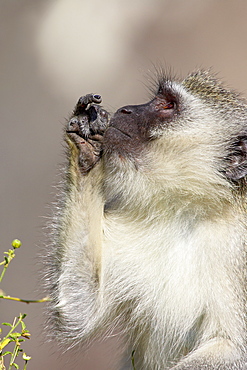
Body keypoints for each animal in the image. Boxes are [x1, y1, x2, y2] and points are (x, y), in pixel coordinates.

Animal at [45, 70, 247, 370]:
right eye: (157, 97)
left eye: (169, 105)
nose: (126, 109)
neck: (193, 208)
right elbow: (79, 309)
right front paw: (86, 147)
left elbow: (234, 349)